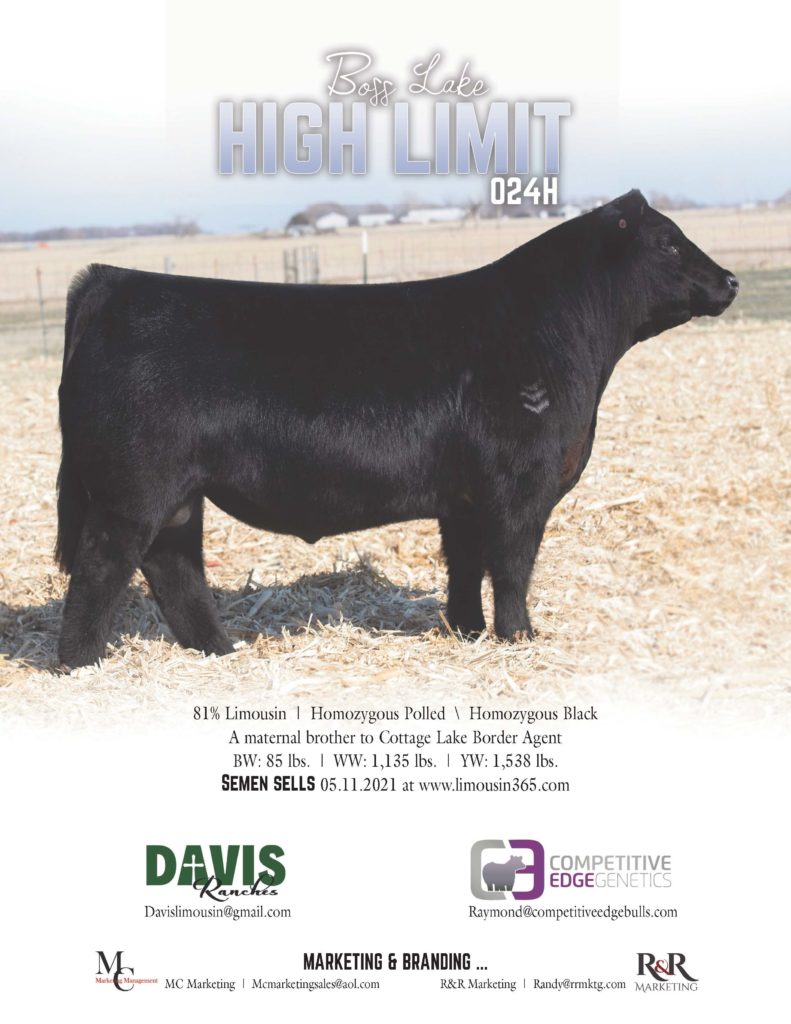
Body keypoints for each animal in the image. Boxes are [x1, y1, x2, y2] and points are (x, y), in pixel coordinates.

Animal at [55, 190, 738, 668]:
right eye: (668, 243)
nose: (730, 280)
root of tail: (113, 280)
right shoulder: (520, 487)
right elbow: (512, 565)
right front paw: (519, 637)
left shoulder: (464, 496)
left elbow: (464, 565)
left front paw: (466, 631)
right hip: (132, 490)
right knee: (102, 568)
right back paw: (81, 666)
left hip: (176, 495)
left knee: (173, 568)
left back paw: (219, 652)